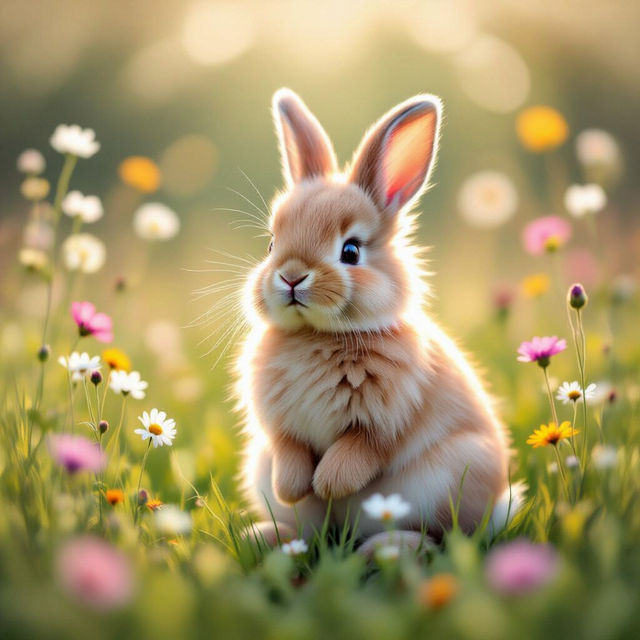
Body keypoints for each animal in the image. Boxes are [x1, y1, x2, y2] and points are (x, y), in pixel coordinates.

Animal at [236, 88, 523, 543]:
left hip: (447, 478)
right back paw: (266, 536)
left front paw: (328, 483)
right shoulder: (280, 428)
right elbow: (289, 449)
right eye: (270, 245)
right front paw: (295, 488)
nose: (291, 276)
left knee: (437, 537)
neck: (319, 335)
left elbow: (360, 452)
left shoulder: (383, 423)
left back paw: (392, 546)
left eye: (350, 251)